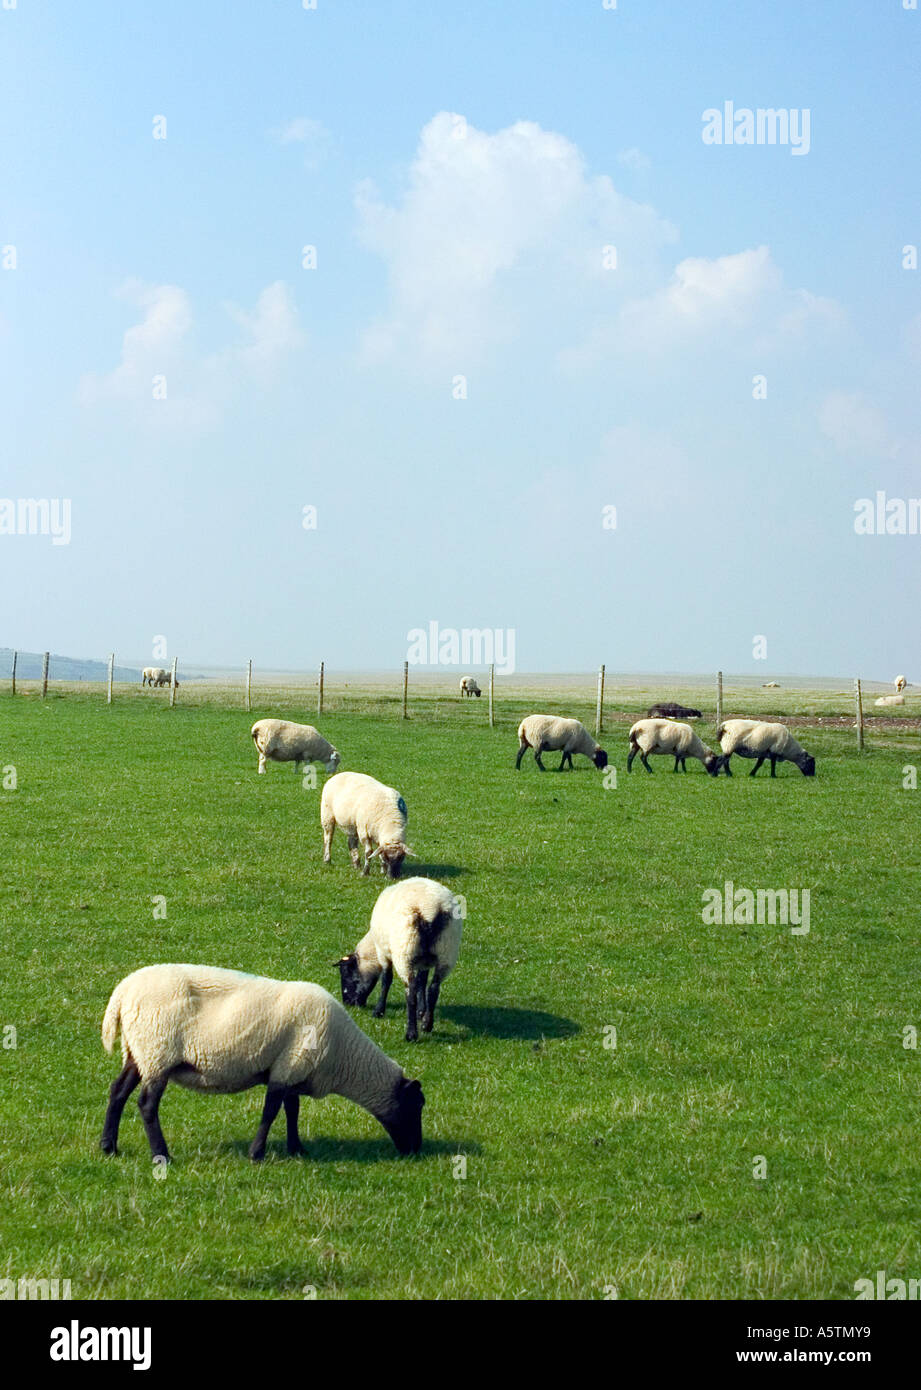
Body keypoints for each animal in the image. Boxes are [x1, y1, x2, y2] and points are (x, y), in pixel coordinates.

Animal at [100, 964, 424, 1162]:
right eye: (416, 1105)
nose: (417, 1151)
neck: (344, 1056)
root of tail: (122, 993)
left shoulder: (291, 1067)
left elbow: (292, 1110)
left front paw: (297, 1149)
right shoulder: (288, 1068)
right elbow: (271, 1112)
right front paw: (257, 1153)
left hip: (138, 1051)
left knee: (117, 1091)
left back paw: (108, 1147)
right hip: (158, 1052)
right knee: (147, 1104)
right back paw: (161, 1155)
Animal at [338, 878, 462, 1041]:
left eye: (346, 973)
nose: (348, 1003)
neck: (372, 946)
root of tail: (430, 910)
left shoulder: (383, 953)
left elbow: (386, 980)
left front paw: (379, 1011)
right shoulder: (425, 962)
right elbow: (422, 981)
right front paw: (421, 1012)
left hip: (405, 952)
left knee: (410, 991)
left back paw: (411, 1034)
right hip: (447, 952)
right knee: (434, 989)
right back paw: (427, 1025)